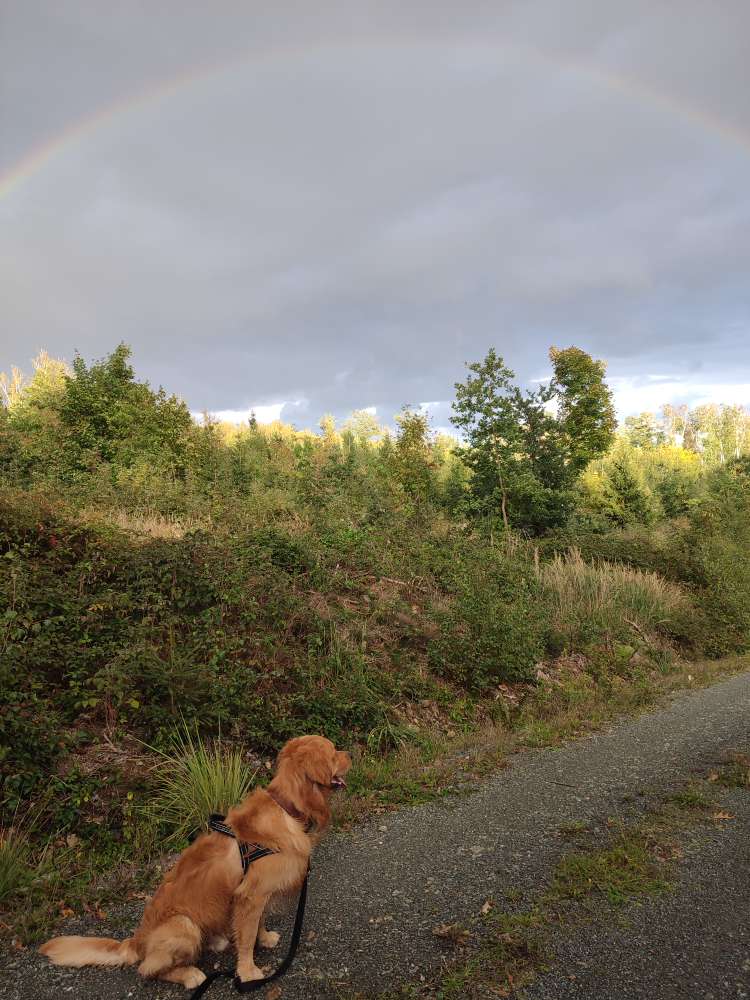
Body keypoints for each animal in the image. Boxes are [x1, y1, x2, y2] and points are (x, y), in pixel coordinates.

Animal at [42, 740, 354, 988]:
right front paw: (248, 971)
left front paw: (263, 939)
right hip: (183, 924)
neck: (285, 806)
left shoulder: (257, 893)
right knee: (148, 969)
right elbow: (247, 934)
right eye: (333, 751)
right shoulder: (251, 894)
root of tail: (136, 941)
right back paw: (190, 975)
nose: (350, 753)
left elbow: (257, 924)